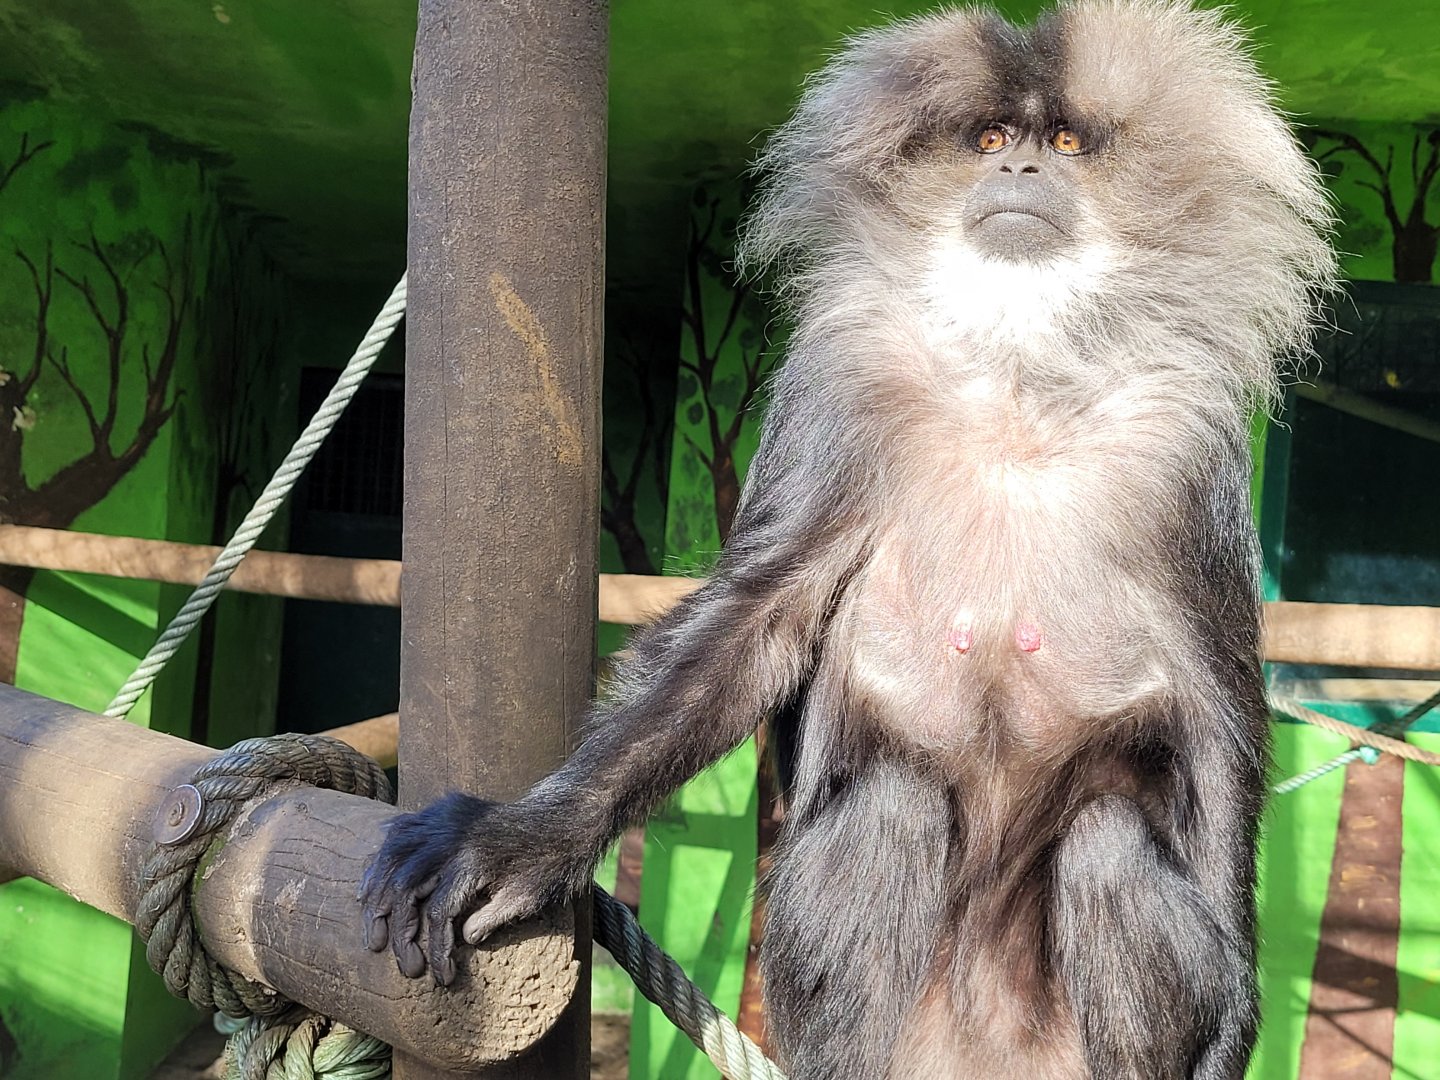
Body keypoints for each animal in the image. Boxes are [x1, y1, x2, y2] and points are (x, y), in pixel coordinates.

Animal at [360, 1, 1337, 1076]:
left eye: (1067, 143)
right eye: (990, 139)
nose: (1021, 168)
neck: (1017, 379)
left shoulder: (1188, 450)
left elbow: (1218, 711)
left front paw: (1237, 1020)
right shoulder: (843, 385)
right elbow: (753, 626)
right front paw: (521, 839)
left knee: (1112, 840)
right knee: (886, 810)